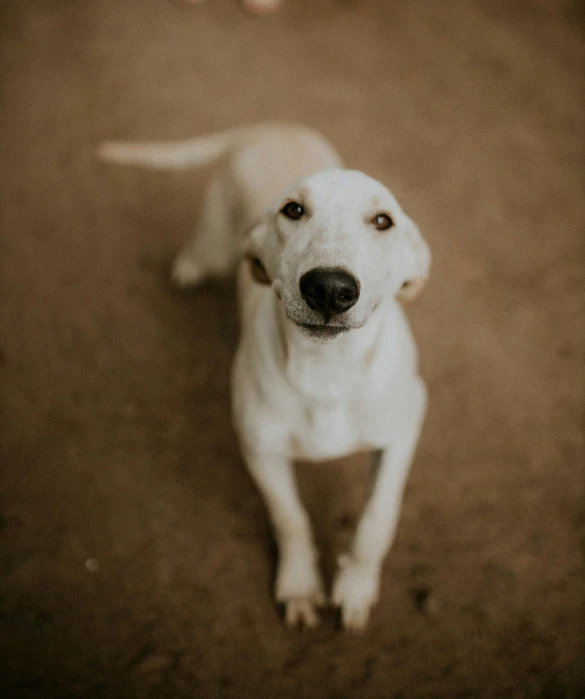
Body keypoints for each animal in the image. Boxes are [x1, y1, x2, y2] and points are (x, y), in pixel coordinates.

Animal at [97, 123, 428, 632]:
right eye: (293, 210)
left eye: (382, 221)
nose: (329, 288)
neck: (327, 370)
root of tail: (274, 125)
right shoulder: (260, 449)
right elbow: (289, 518)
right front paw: (300, 586)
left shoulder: (404, 430)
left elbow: (377, 517)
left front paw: (356, 587)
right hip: (218, 235)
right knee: (203, 246)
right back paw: (189, 267)